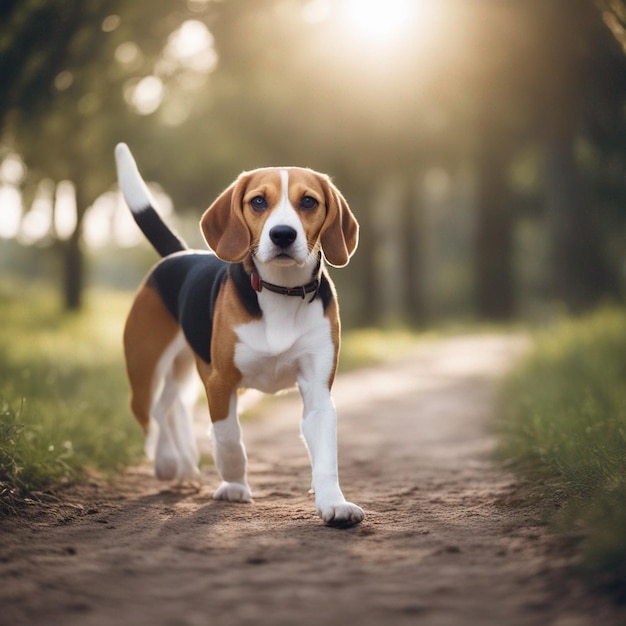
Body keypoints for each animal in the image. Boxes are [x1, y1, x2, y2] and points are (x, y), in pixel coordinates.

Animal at [114, 144, 364, 524]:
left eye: (308, 201)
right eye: (258, 201)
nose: (283, 234)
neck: (281, 291)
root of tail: (179, 254)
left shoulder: (318, 390)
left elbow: (325, 454)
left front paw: (333, 503)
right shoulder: (221, 381)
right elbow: (229, 436)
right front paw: (233, 485)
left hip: (187, 369)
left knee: (172, 405)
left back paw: (186, 465)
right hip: (145, 367)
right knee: (150, 411)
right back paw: (167, 461)